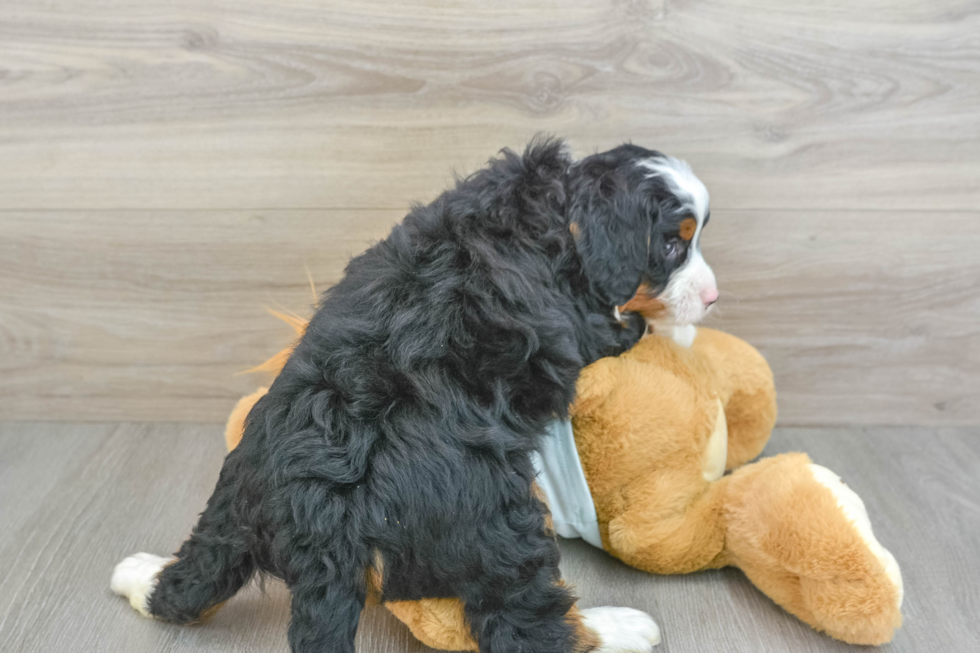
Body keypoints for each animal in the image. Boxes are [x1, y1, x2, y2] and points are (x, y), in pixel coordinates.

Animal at [115, 138, 716, 652]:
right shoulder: (589, 326)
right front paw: (683, 332)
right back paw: (616, 627)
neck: (554, 209)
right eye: (672, 245)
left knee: (193, 579)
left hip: (233, 505)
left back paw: (140, 575)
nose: (712, 297)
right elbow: (634, 325)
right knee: (522, 626)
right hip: (500, 522)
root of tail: (322, 518)